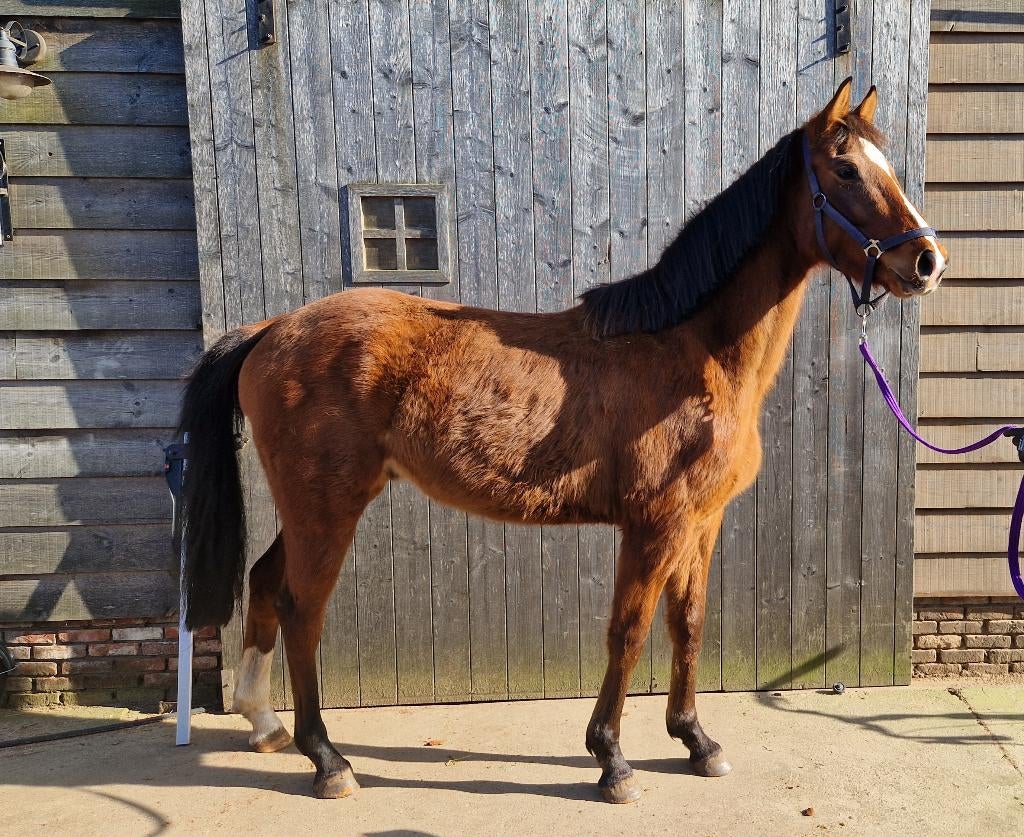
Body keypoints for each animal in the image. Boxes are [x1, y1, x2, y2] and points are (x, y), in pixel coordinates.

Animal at [177, 77, 947, 804]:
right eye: (844, 169)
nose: (926, 262)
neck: (692, 349)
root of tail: (271, 330)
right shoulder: (653, 525)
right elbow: (629, 630)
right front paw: (612, 759)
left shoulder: (701, 522)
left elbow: (689, 623)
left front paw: (696, 740)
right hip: (327, 507)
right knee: (302, 608)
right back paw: (327, 759)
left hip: (311, 507)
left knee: (265, 582)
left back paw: (264, 722)